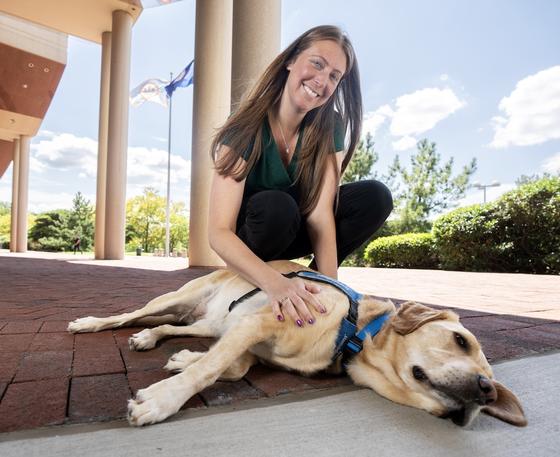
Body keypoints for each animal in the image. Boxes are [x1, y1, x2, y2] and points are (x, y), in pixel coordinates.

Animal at [68, 260, 528, 428]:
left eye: (490, 386)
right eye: (460, 340)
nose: (486, 390)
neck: (353, 334)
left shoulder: (244, 332)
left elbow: (230, 365)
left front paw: (182, 363)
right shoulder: (259, 322)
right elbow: (211, 368)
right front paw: (163, 400)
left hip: (209, 322)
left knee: (173, 327)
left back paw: (155, 338)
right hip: (176, 297)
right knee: (129, 315)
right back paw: (90, 322)